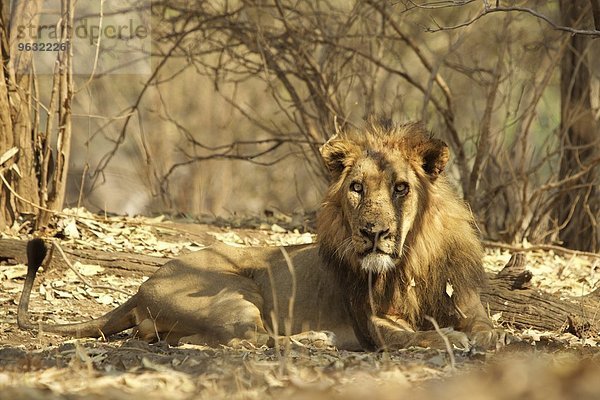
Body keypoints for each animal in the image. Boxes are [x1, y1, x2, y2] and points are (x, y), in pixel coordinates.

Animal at [17, 118, 502, 350]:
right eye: (356, 188)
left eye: (401, 188)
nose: (374, 233)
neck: (412, 260)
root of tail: (140, 287)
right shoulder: (372, 321)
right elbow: (412, 335)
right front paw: (447, 339)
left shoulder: (469, 304)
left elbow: (488, 329)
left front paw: (475, 336)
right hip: (237, 291)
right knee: (236, 339)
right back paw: (315, 339)